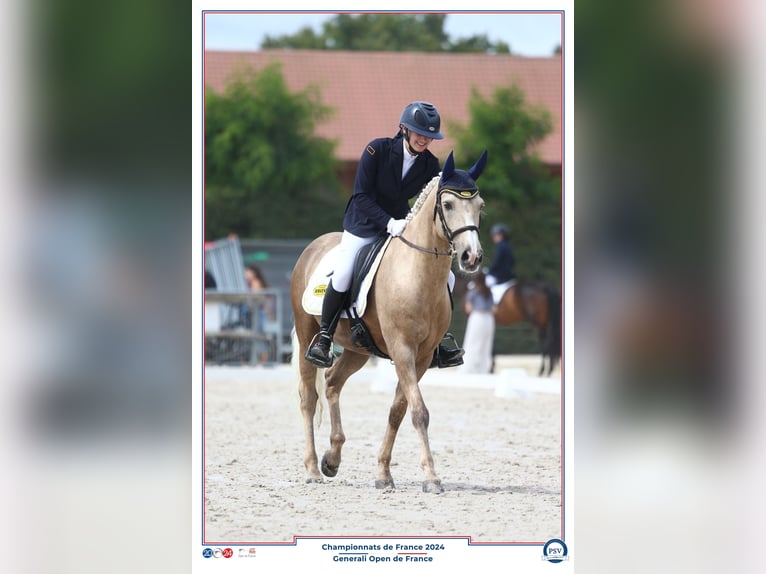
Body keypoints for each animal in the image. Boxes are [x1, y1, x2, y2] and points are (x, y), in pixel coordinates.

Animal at [292, 151, 488, 498]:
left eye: (480, 206)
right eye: (448, 204)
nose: (471, 257)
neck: (418, 274)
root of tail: (313, 246)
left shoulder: (421, 356)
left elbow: (399, 410)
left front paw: (383, 473)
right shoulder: (402, 349)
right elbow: (419, 411)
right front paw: (431, 478)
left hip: (357, 349)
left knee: (332, 382)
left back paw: (333, 459)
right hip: (307, 335)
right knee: (309, 397)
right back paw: (313, 469)